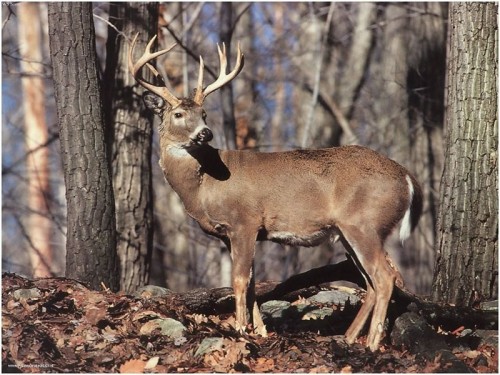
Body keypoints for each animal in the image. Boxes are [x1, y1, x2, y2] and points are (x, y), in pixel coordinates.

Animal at [128, 35, 422, 352]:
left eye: (204, 113)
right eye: (179, 114)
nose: (205, 133)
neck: (203, 186)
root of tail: (407, 176)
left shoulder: (244, 222)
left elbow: (240, 280)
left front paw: (240, 329)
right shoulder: (233, 233)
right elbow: (252, 282)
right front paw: (260, 331)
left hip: (364, 223)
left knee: (385, 277)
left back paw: (371, 344)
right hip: (349, 232)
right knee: (370, 282)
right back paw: (348, 337)